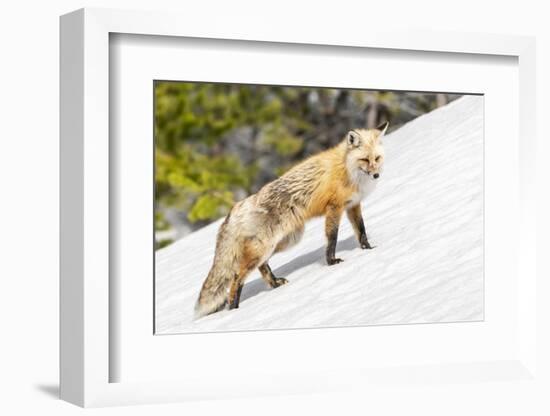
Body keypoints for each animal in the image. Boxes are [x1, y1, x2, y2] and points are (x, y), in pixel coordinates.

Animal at [194, 122, 388, 316]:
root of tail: (238, 206)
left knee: (261, 266)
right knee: (236, 276)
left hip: (286, 240)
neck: (347, 169)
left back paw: (274, 284)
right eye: (364, 160)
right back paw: (233, 307)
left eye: (377, 158)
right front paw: (332, 262)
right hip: (266, 246)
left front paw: (368, 248)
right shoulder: (334, 208)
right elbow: (332, 238)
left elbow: (361, 231)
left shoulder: (353, 205)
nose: (376, 175)